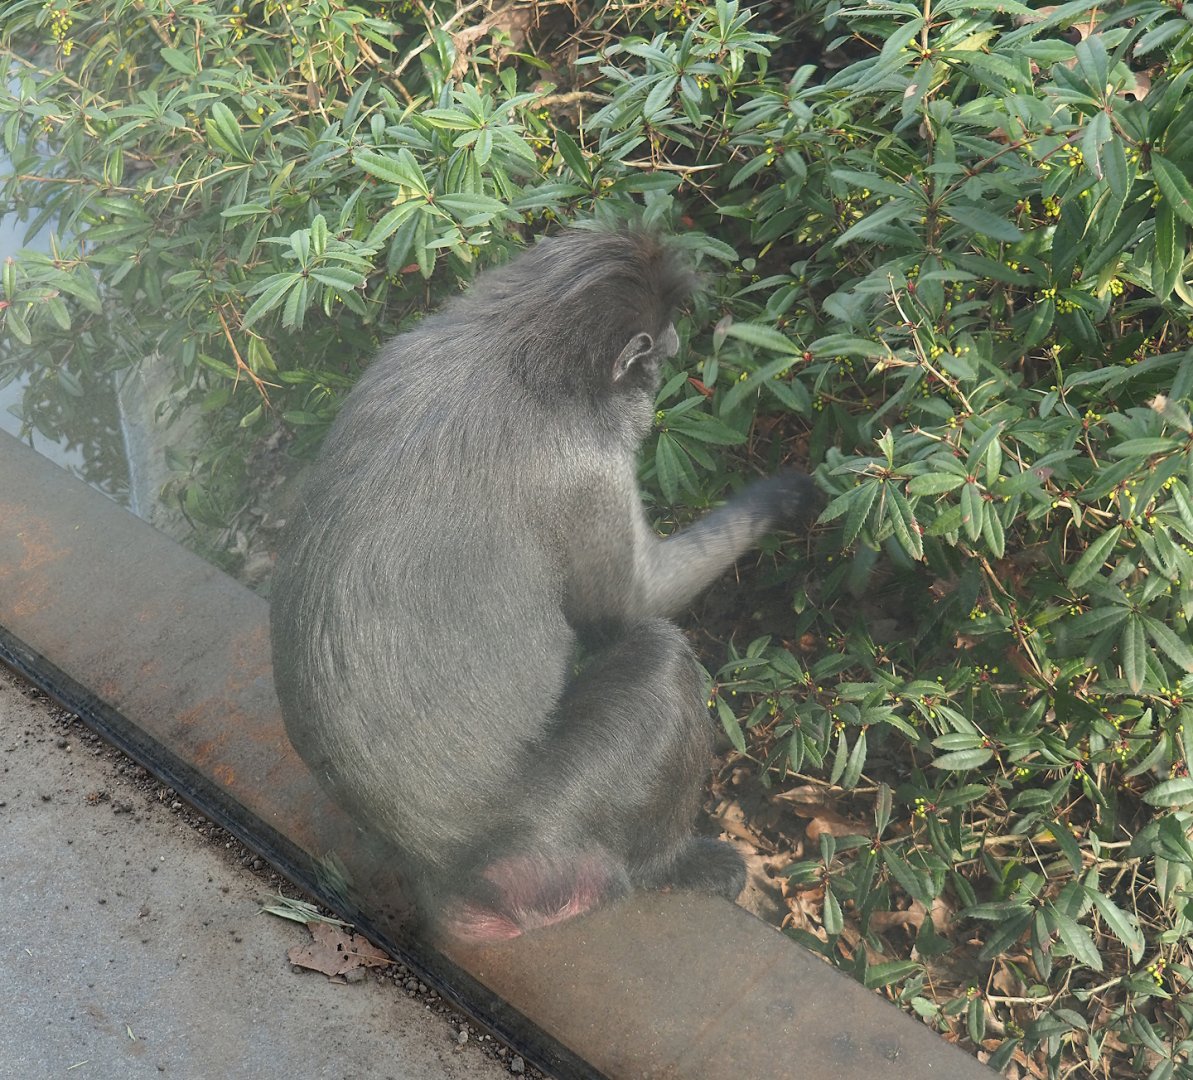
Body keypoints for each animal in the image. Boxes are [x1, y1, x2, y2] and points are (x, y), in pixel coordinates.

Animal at [269, 229, 816, 941]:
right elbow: (636, 604)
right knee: (659, 658)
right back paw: (675, 864)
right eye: (660, 355)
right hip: (553, 841)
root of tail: (443, 875)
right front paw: (783, 496)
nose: (667, 369)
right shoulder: (583, 461)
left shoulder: (400, 353)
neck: (510, 341)